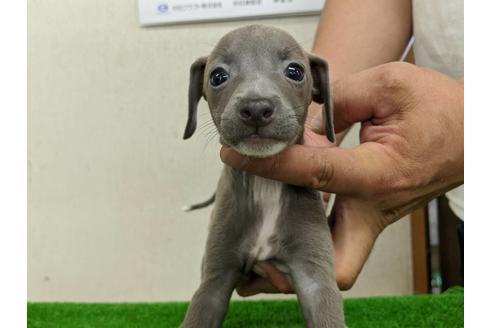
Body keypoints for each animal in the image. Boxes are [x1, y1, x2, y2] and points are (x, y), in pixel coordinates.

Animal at [180, 24, 342, 326]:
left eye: (295, 71)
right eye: (217, 76)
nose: (256, 108)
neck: (265, 184)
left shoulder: (316, 276)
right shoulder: (214, 279)